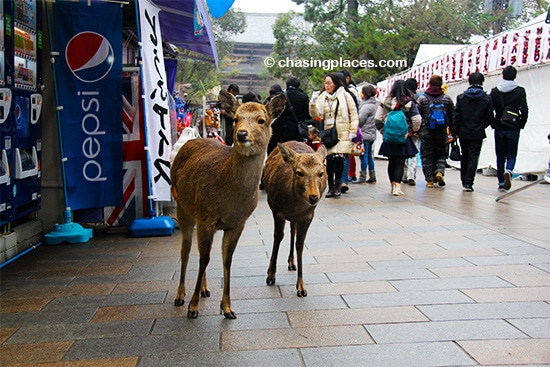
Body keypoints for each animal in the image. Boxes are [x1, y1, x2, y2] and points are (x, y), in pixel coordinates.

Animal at [170, 95, 286, 320]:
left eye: (261, 120)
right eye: (235, 118)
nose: (241, 134)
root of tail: (190, 140)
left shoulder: (237, 223)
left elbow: (226, 260)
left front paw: (228, 309)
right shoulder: (206, 218)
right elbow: (204, 259)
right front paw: (193, 308)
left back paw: (205, 290)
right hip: (183, 205)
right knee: (186, 250)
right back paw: (180, 296)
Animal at [264, 141, 328, 300]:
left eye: (321, 173)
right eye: (299, 172)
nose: (313, 197)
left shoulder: (308, 216)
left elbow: (300, 244)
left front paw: (301, 287)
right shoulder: (277, 211)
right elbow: (277, 237)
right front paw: (271, 276)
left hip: (296, 219)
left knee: (292, 230)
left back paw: (292, 263)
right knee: (285, 233)